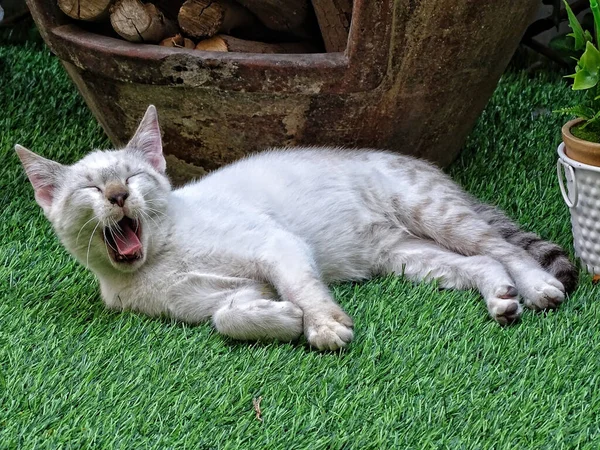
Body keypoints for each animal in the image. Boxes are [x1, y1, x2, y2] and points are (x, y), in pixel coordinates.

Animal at [14, 105, 576, 352]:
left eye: (132, 177)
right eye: (90, 187)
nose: (116, 196)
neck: (159, 259)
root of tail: (424, 164)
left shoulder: (277, 245)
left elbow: (304, 289)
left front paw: (323, 326)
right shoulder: (226, 296)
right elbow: (229, 319)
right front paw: (284, 320)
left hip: (433, 212)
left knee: (502, 246)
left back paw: (537, 287)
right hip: (410, 258)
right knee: (481, 260)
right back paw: (502, 298)